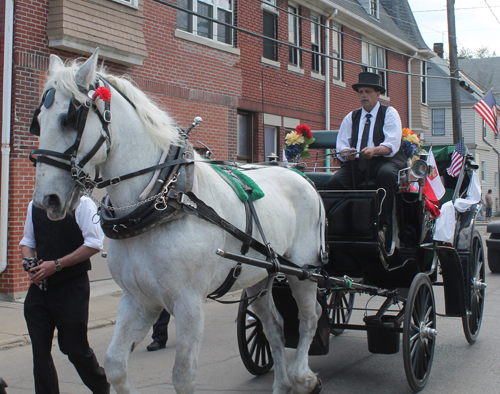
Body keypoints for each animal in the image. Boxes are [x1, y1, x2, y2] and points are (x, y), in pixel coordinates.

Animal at [32, 49, 328, 394]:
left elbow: (183, 375)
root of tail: (300, 175)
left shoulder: (189, 304)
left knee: (310, 318)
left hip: (304, 271)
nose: (47, 200)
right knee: (274, 327)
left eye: (69, 119)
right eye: (38, 121)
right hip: (261, 276)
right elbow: (115, 365)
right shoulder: (138, 300)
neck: (161, 200)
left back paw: (302, 376)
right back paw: (281, 383)